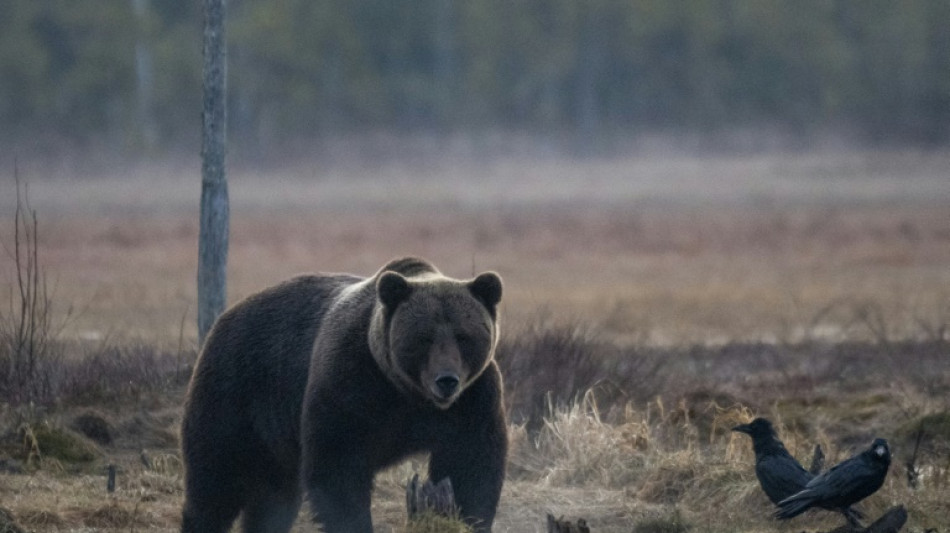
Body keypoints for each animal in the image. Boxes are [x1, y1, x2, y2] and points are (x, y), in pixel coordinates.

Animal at [178, 256, 506, 528]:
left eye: (463, 336)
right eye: (423, 337)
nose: (446, 380)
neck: (407, 392)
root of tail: (226, 316)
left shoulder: (473, 400)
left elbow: (471, 465)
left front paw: (467, 519)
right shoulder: (351, 384)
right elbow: (337, 468)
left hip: (276, 438)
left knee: (274, 498)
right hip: (236, 395)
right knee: (215, 482)